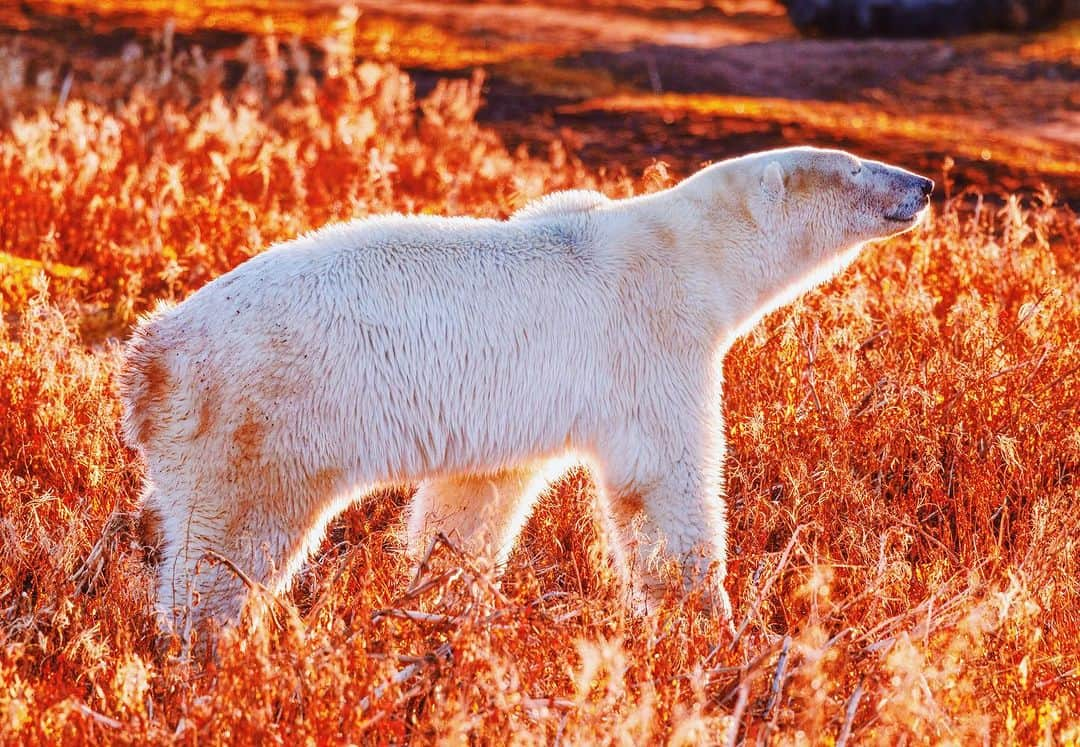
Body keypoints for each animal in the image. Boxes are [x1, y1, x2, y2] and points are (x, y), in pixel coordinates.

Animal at [116, 147, 928, 634]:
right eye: (858, 166)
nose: (923, 184)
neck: (683, 250)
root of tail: (146, 361)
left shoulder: (510, 410)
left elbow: (475, 499)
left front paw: (447, 598)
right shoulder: (648, 341)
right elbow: (664, 480)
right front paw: (709, 623)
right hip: (258, 421)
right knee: (226, 550)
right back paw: (211, 649)